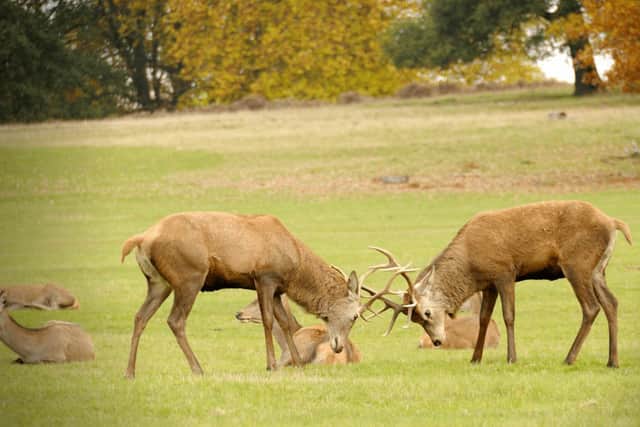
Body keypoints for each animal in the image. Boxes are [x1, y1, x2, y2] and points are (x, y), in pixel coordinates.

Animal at [120, 212, 393, 378]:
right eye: (355, 316)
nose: (338, 346)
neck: (295, 268)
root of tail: (141, 239)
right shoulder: (264, 278)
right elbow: (269, 321)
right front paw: (271, 365)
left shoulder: (277, 289)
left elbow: (285, 323)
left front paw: (298, 364)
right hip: (189, 277)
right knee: (175, 320)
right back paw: (198, 368)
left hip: (158, 282)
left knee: (140, 317)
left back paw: (130, 372)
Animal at [393, 200, 631, 367]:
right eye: (415, 319)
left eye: (426, 313)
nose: (436, 341)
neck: (471, 266)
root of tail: (612, 222)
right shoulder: (489, 284)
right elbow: (484, 318)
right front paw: (475, 358)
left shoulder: (505, 273)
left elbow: (509, 316)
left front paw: (511, 357)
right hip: (598, 270)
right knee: (611, 302)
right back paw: (612, 361)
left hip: (577, 264)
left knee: (591, 307)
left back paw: (569, 358)